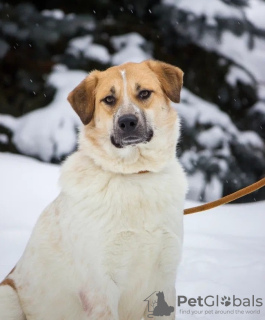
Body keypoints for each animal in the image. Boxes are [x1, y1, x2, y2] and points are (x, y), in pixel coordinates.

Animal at [0, 60, 187, 320]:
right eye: (109, 99)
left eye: (144, 93)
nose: (127, 122)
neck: (135, 176)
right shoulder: (100, 288)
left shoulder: (165, 278)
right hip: (7, 296)